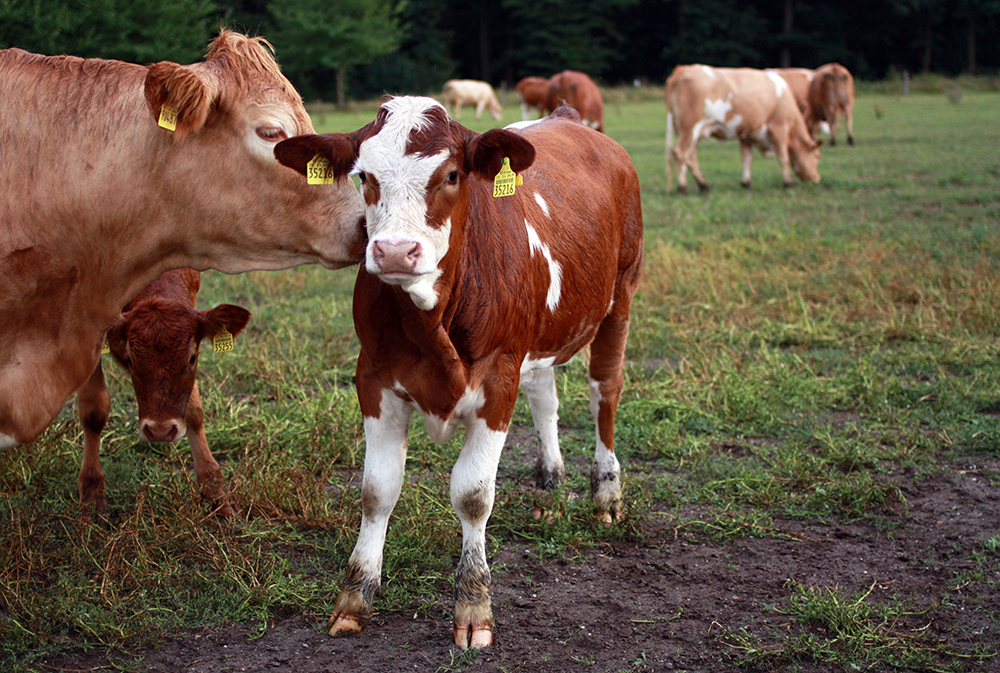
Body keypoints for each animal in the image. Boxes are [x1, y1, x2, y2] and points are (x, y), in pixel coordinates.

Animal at [76, 268, 250, 516]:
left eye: (193, 357)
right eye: (130, 359)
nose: (160, 431)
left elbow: (194, 411)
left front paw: (216, 490)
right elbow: (94, 411)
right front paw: (91, 492)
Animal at [274, 98, 644, 644]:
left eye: (451, 174)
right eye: (364, 176)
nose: (394, 251)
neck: (431, 320)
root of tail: (567, 117)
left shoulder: (498, 379)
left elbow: (472, 495)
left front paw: (473, 604)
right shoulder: (374, 378)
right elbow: (377, 491)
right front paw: (355, 595)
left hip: (621, 294)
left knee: (606, 391)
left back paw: (606, 492)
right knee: (545, 396)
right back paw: (549, 484)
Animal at [664, 64, 820, 192]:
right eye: (817, 156)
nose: (817, 179)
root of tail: (683, 69)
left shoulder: (746, 133)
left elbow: (747, 158)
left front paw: (746, 183)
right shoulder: (779, 127)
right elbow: (783, 156)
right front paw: (788, 182)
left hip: (690, 132)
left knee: (690, 157)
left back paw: (703, 185)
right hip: (690, 128)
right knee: (681, 153)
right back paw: (682, 187)